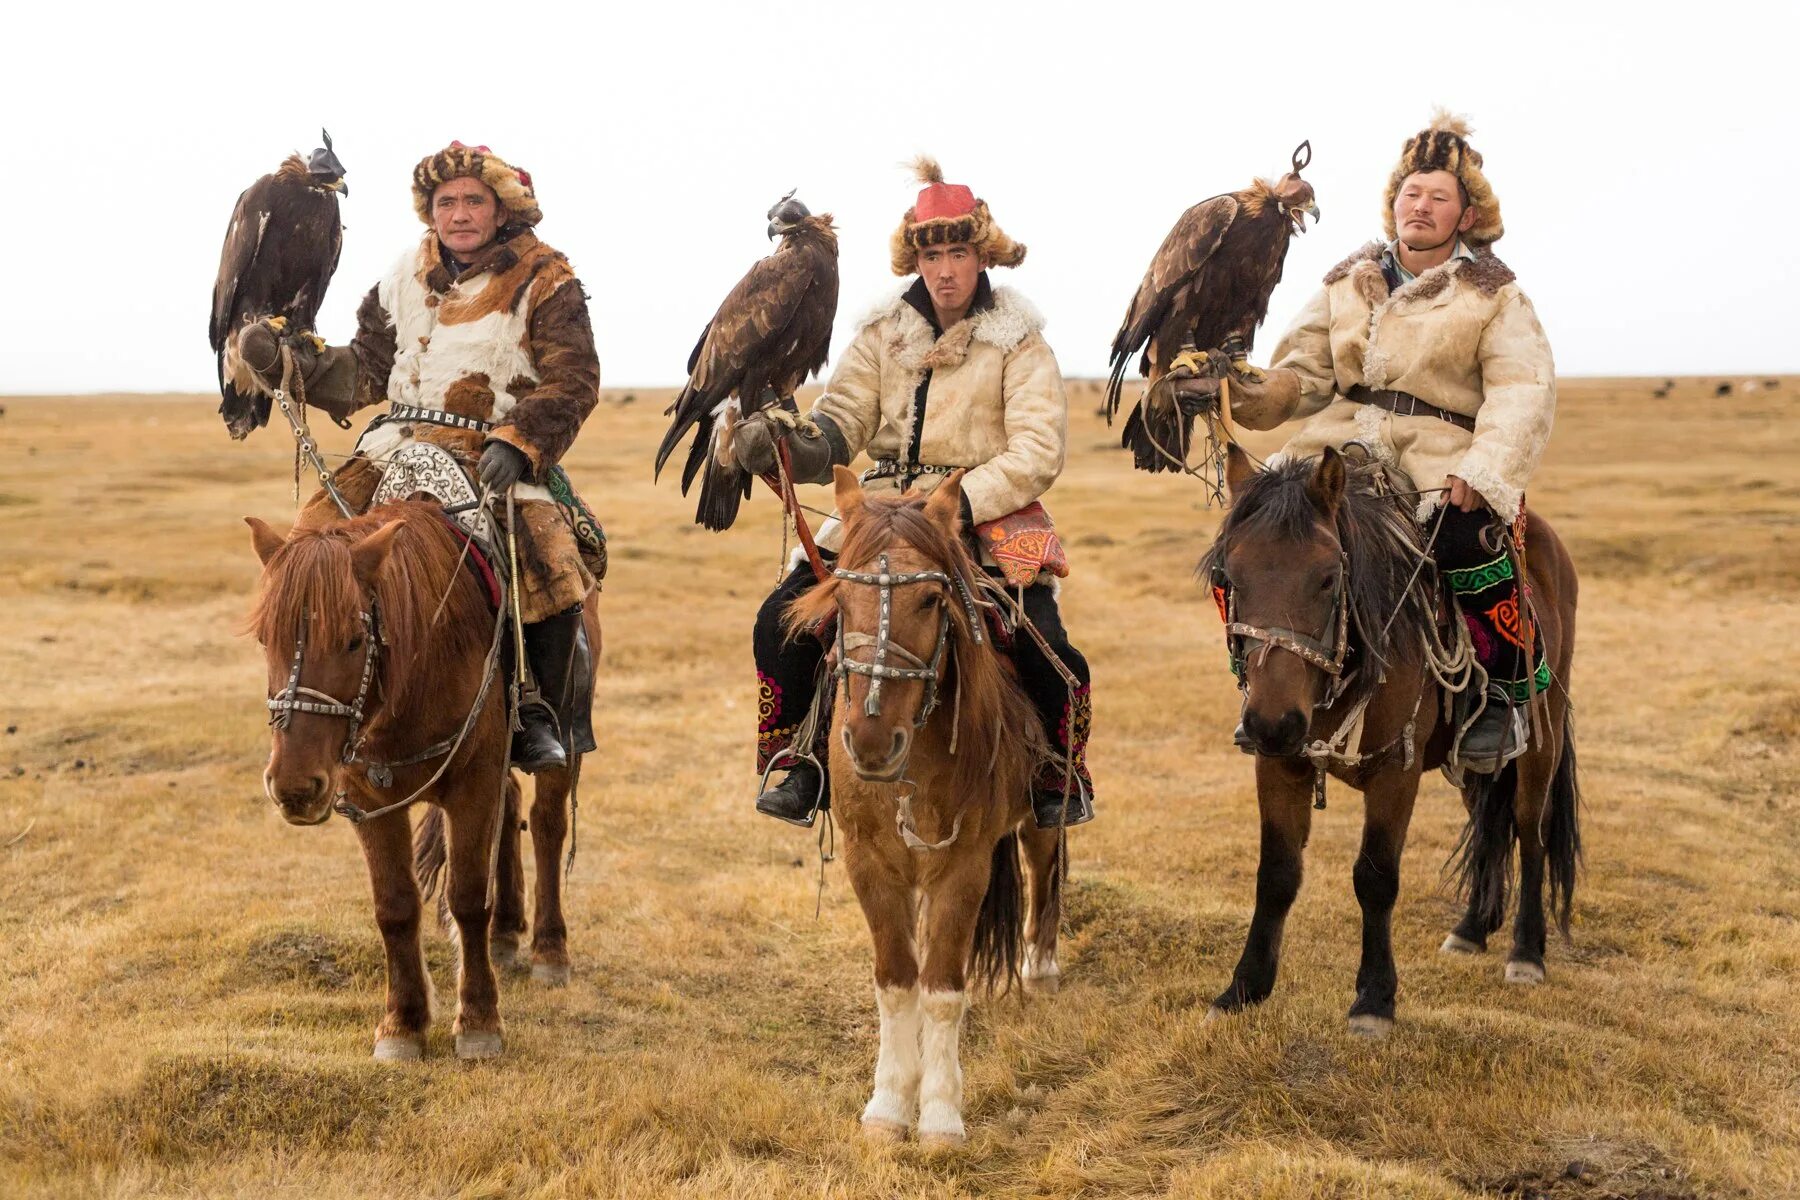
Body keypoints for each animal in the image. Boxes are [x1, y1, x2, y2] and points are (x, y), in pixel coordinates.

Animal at [246, 496, 601, 1057]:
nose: (296, 788)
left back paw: (549, 949)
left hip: (564, 739)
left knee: (546, 824)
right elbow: (394, 906)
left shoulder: (472, 783)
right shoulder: (369, 798)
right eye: (266, 639)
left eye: (354, 641)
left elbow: (467, 897)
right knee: (510, 810)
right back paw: (505, 933)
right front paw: (402, 1023)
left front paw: (478, 1021)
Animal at [788, 467, 1065, 1144]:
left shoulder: (963, 865)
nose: (869, 741)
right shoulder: (869, 862)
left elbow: (941, 987)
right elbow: (896, 980)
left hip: (1038, 821)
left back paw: (1040, 966)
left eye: (931, 602)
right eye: (840, 601)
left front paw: (940, 1115)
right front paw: (888, 1106)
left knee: (1043, 869)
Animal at [1202, 446, 1584, 1036]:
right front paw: (1244, 988)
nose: (1272, 723)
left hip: (1542, 735)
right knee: (1491, 825)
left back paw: (1526, 952)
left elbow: (1375, 878)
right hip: (1474, 760)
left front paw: (1375, 999)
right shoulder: (1278, 766)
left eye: (1328, 578)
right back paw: (1472, 928)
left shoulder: (1395, 772)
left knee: (1530, 828)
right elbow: (1276, 874)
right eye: (1231, 578)